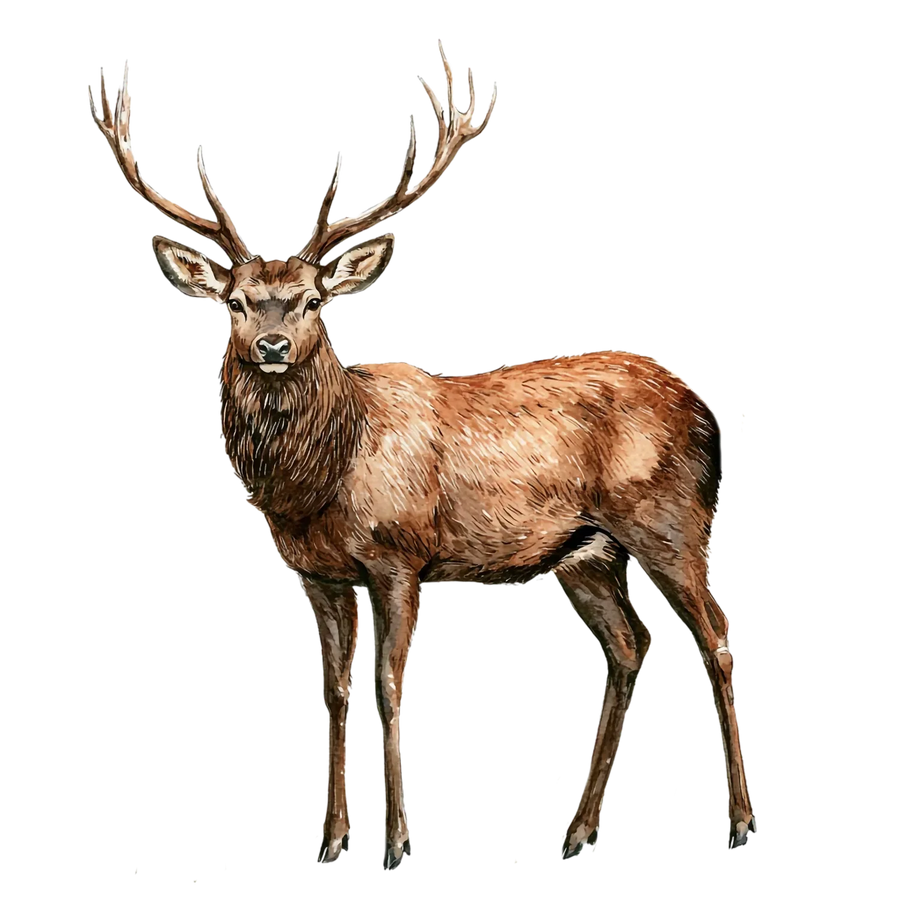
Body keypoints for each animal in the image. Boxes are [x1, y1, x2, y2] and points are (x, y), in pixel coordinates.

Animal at [86, 38, 759, 873]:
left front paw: (397, 840)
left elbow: (387, 684)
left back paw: (739, 822)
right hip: (586, 554)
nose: (272, 345)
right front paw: (331, 838)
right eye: (236, 302)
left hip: (671, 521)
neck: (324, 480)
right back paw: (577, 831)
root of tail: (708, 411)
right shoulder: (315, 574)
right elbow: (333, 688)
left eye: (314, 300)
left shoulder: (400, 556)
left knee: (717, 634)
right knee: (631, 646)